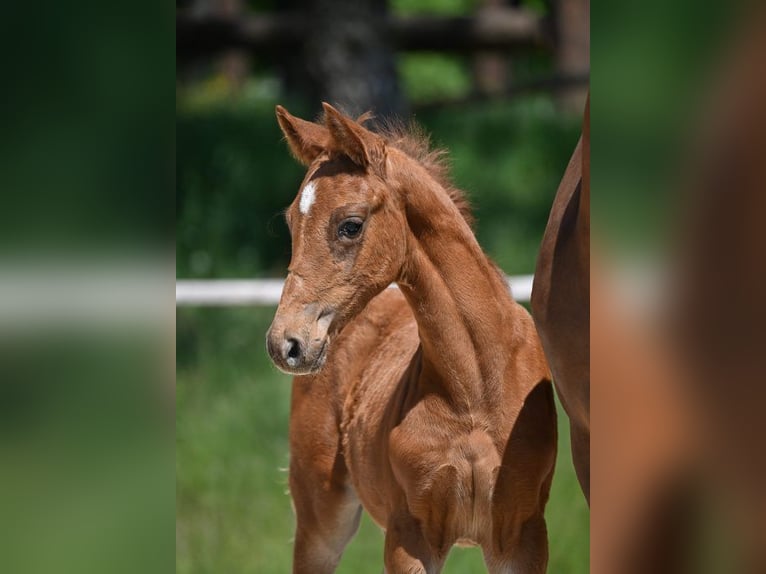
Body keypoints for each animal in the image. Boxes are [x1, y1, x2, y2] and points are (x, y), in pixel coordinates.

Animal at [266, 103, 557, 573]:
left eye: (350, 225)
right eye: (292, 222)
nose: (285, 343)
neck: (475, 387)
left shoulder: (523, 534)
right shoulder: (409, 535)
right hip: (320, 516)